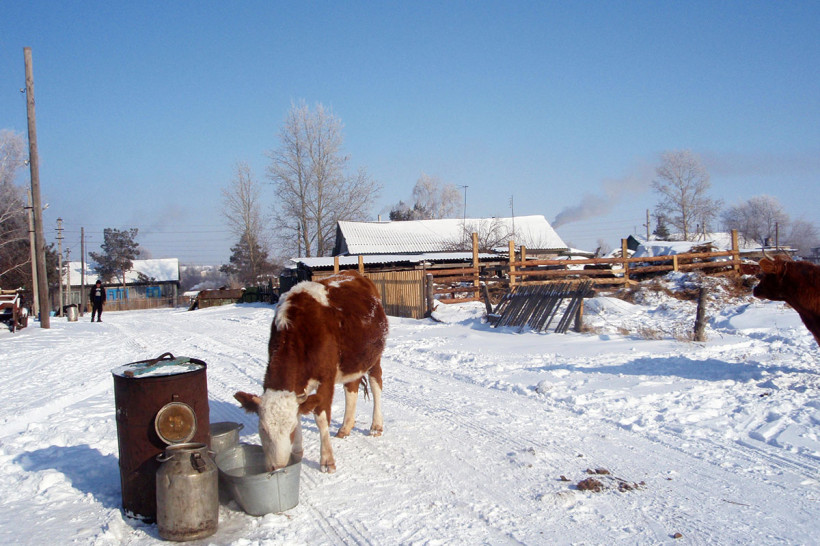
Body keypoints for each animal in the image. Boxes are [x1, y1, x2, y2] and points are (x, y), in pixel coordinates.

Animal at [235, 270, 388, 473]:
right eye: (263, 430)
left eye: (291, 429)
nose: (277, 467)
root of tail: (355, 273)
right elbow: (300, 411)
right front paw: (298, 452)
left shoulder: (326, 378)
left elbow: (321, 418)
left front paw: (327, 461)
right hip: (352, 361)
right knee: (351, 388)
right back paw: (345, 427)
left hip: (373, 357)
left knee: (376, 384)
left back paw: (376, 426)